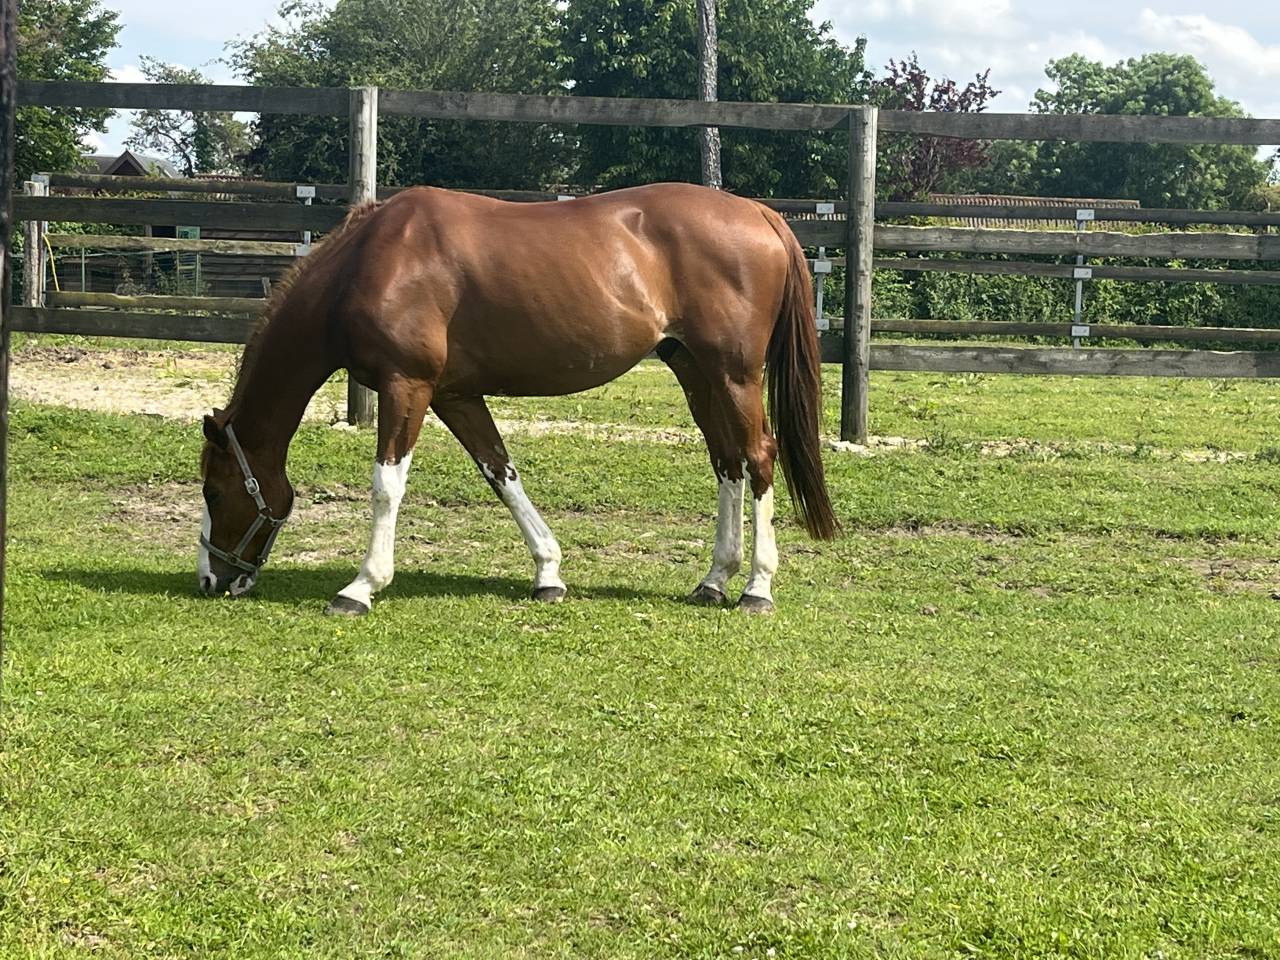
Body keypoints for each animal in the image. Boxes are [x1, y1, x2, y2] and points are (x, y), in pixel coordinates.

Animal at [198, 182, 838, 616]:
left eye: (213, 490)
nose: (211, 580)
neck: (372, 259)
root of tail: (759, 212)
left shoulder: (407, 386)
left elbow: (386, 485)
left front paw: (361, 585)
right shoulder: (454, 394)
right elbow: (500, 472)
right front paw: (548, 573)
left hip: (734, 374)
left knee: (758, 456)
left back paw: (756, 587)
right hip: (696, 372)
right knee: (727, 461)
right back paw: (713, 580)